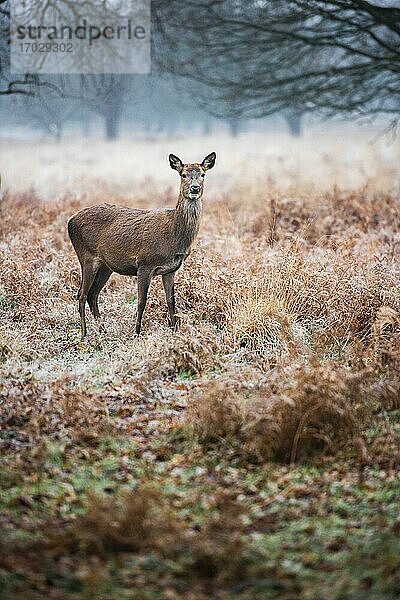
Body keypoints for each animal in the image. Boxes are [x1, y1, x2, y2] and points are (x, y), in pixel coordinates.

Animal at [67, 152, 216, 340]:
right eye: (183, 175)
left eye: (203, 174)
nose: (195, 189)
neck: (173, 235)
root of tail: (70, 221)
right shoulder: (145, 264)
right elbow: (141, 301)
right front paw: (137, 333)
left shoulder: (170, 270)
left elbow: (171, 301)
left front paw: (175, 331)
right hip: (86, 256)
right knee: (81, 294)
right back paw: (84, 334)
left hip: (106, 266)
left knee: (93, 294)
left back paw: (103, 331)